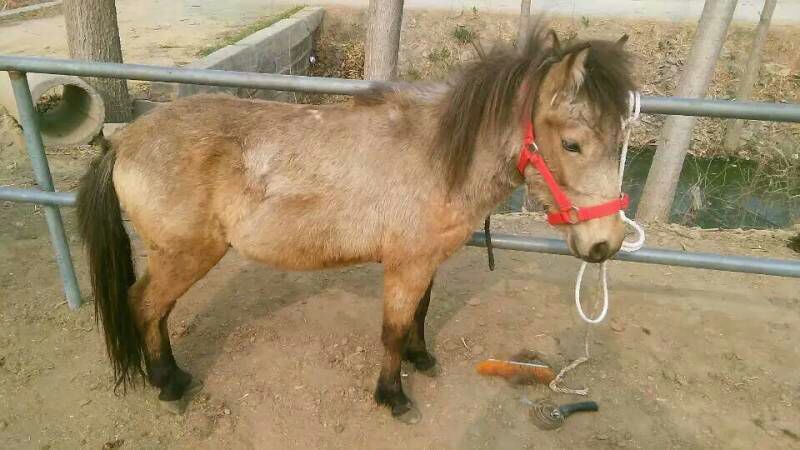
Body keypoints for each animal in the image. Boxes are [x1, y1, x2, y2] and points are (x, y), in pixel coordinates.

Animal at [76, 27, 635, 423]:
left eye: (621, 139)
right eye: (572, 144)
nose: (605, 243)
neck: (436, 157)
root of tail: (124, 140)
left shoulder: (424, 261)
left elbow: (420, 315)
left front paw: (420, 359)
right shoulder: (406, 265)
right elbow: (391, 330)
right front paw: (393, 396)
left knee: (157, 311)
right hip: (184, 254)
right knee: (144, 306)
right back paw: (168, 383)